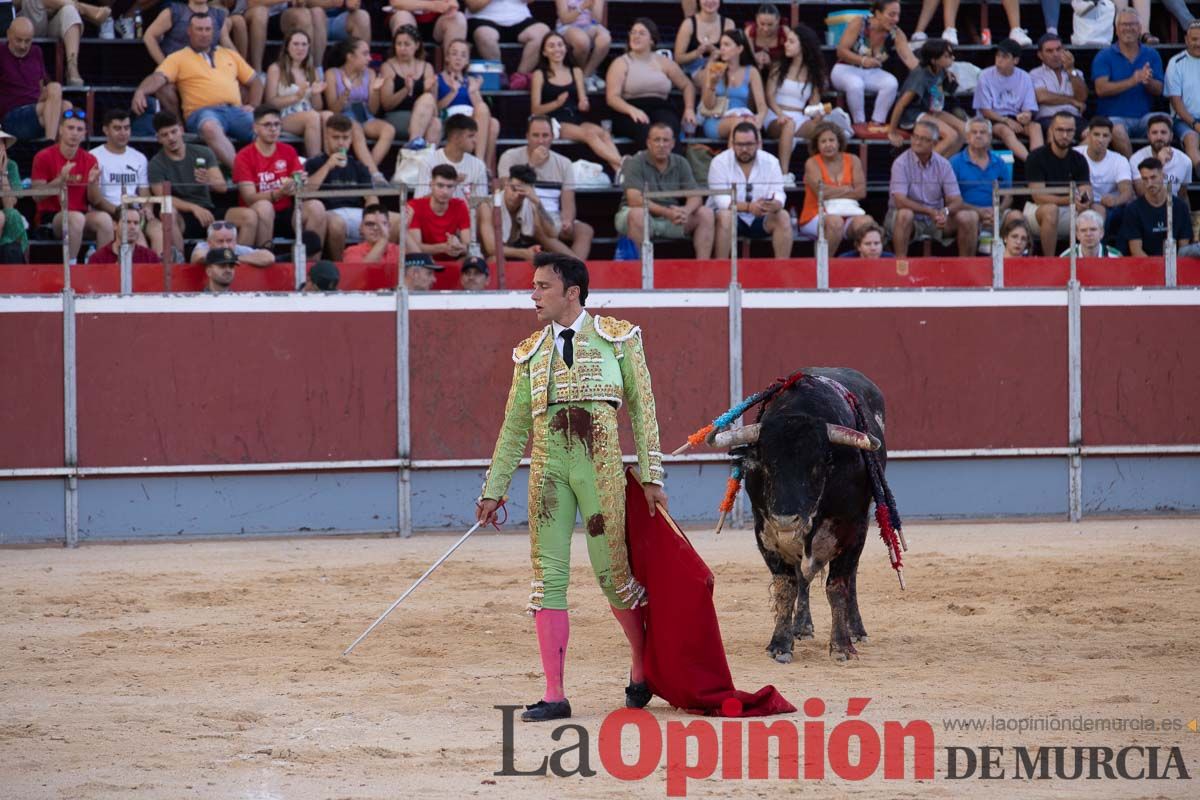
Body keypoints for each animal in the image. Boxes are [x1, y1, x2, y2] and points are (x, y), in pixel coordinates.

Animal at [715, 369, 888, 662]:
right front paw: (780, 644)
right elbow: (787, 586)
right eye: (764, 464)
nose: (786, 520)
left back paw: (856, 630)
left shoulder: (852, 528)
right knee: (802, 577)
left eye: (819, 464)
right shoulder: (765, 532)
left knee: (850, 577)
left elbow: (837, 586)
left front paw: (841, 646)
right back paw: (802, 627)